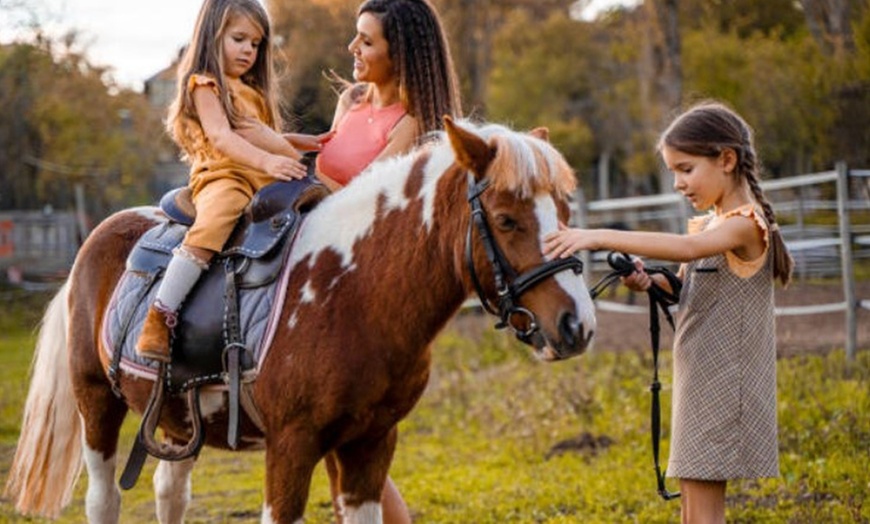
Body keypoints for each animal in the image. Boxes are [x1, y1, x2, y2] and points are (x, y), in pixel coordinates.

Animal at [3, 118, 596, 524]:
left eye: (567, 213)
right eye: (506, 219)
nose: (577, 325)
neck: (353, 293)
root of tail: (97, 238)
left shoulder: (369, 446)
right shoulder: (291, 447)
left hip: (176, 418)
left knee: (171, 490)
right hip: (96, 404)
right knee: (103, 498)